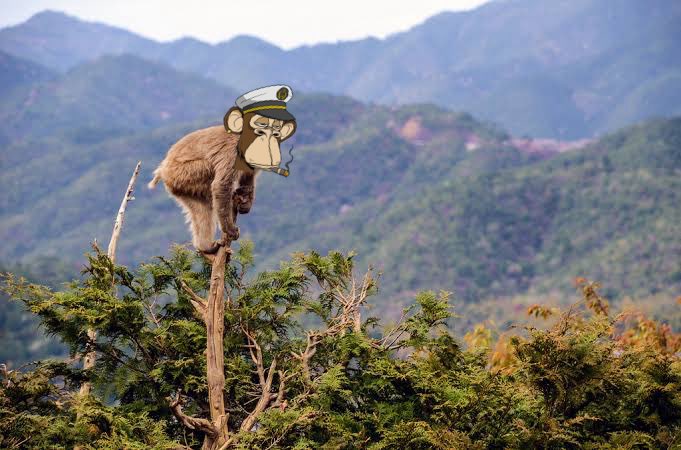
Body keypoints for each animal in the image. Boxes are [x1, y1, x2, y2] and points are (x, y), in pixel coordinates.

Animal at [148, 99, 296, 256]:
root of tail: (163, 168)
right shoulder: (234, 152)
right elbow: (221, 185)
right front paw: (229, 229)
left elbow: (247, 178)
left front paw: (245, 202)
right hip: (182, 174)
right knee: (209, 174)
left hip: (180, 185)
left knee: (202, 207)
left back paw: (205, 246)